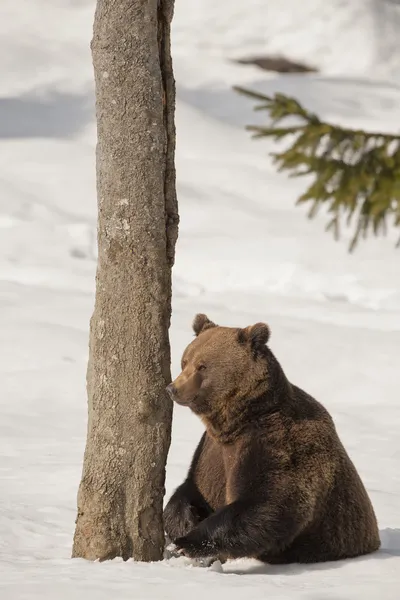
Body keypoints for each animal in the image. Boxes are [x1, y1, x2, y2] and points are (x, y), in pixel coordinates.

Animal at [163, 316, 382, 564]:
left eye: (203, 366)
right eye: (185, 361)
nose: (173, 388)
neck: (236, 421)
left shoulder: (275, 443)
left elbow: (270, 502)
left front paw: (188, 543)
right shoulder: (210, 452)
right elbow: (190, 488)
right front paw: (182, 522)